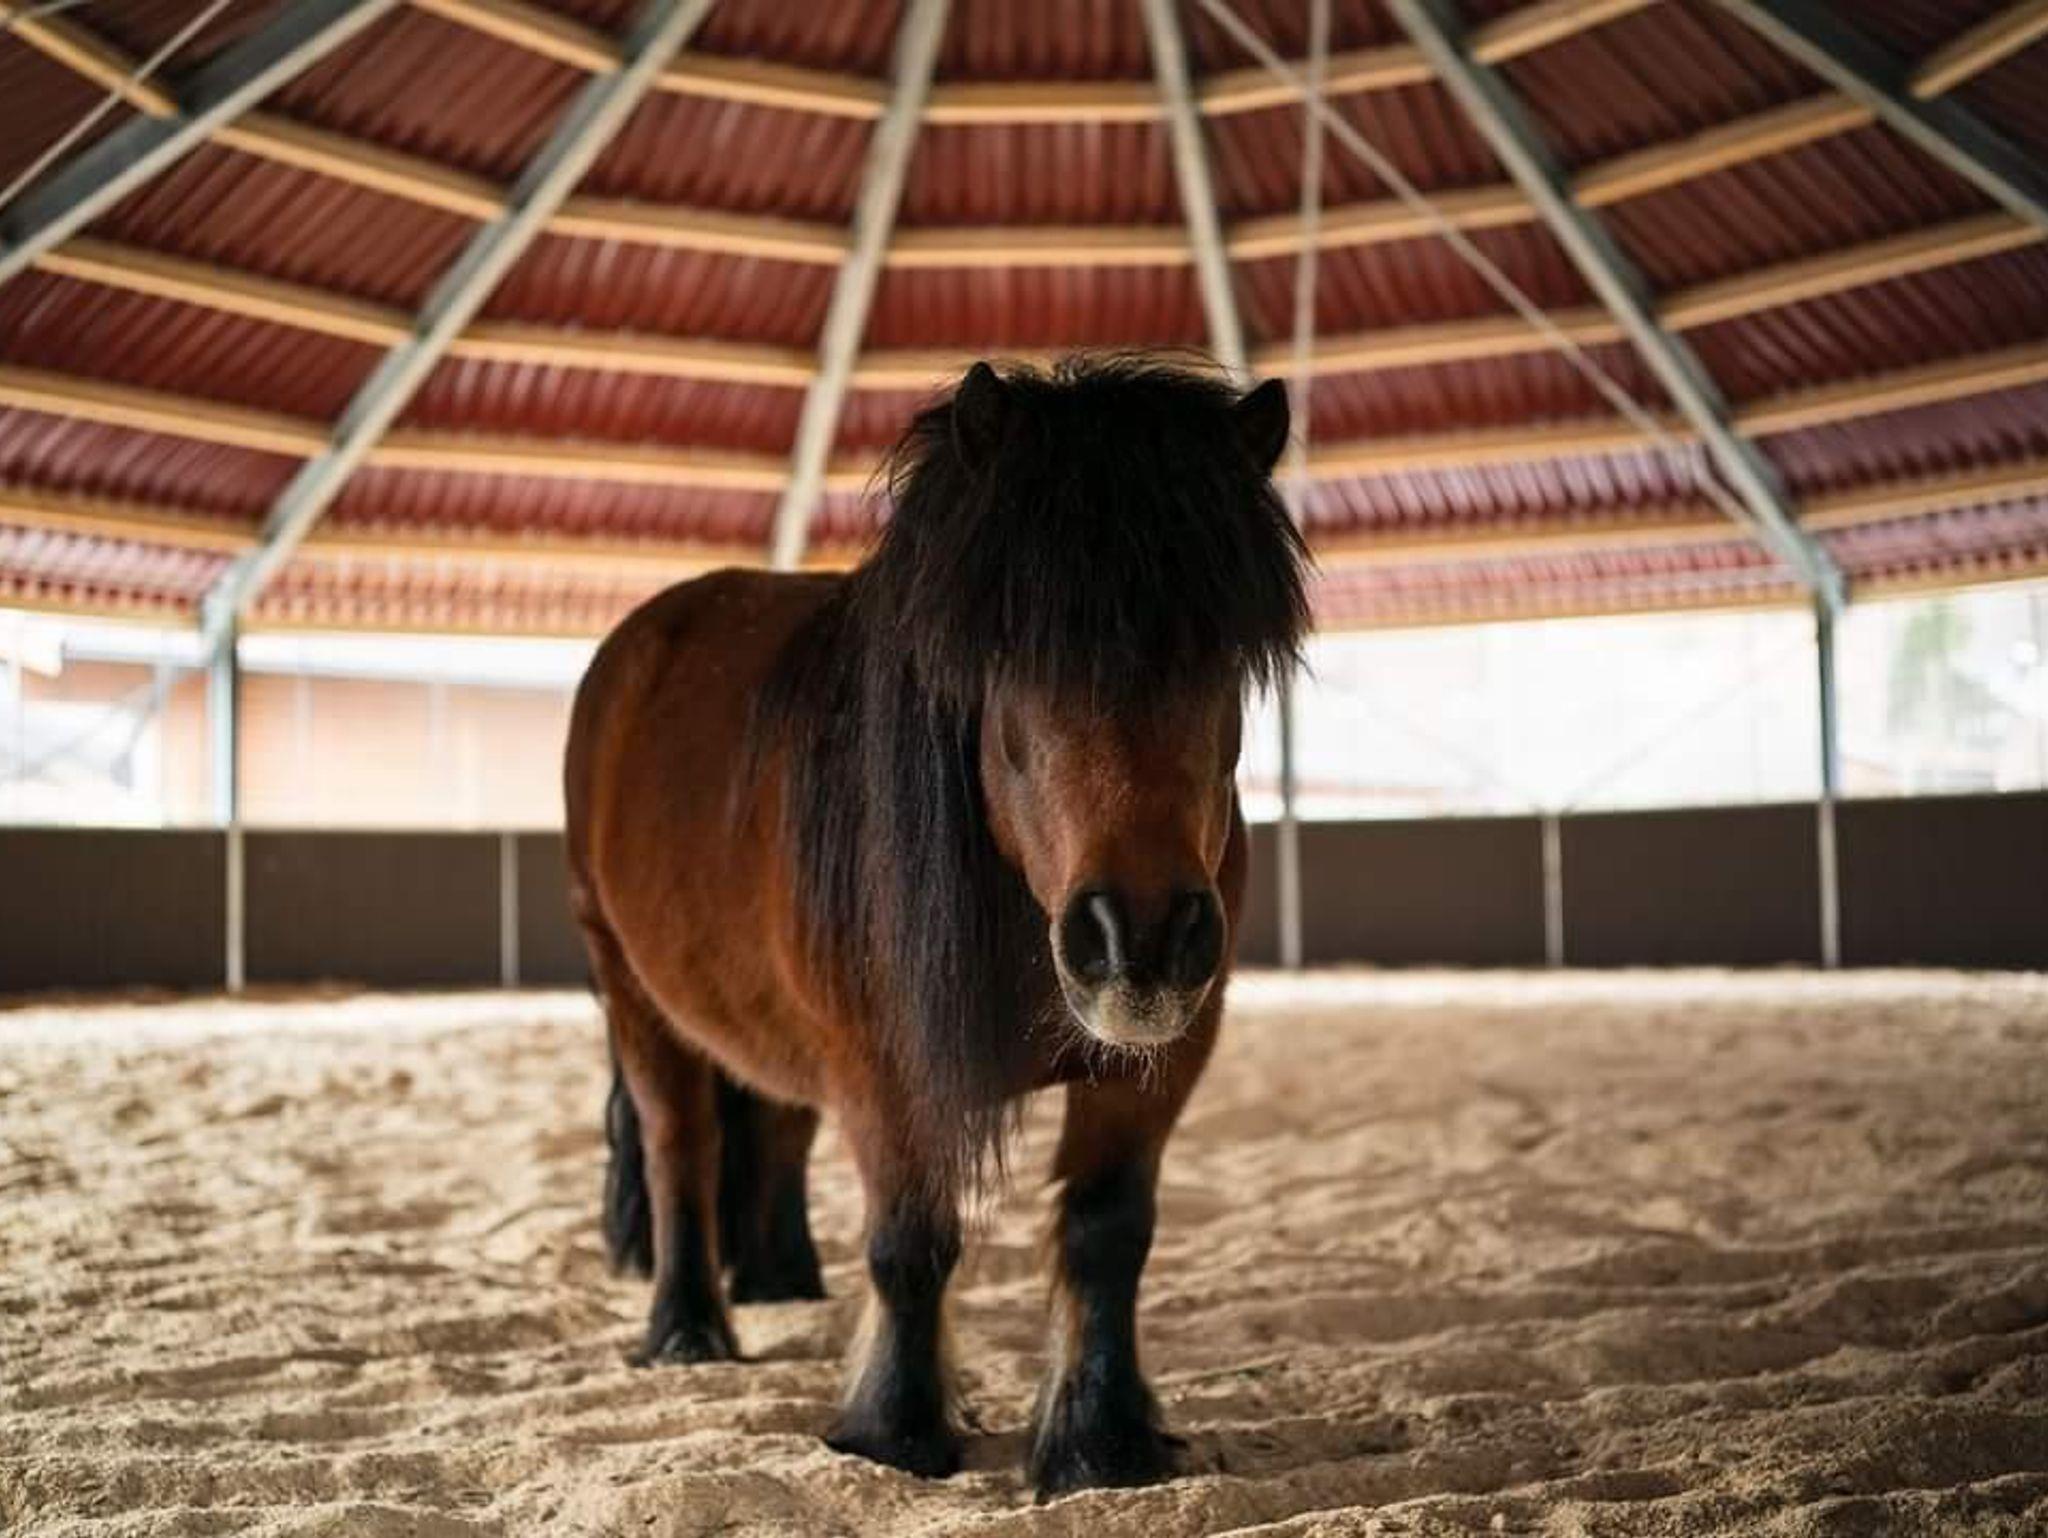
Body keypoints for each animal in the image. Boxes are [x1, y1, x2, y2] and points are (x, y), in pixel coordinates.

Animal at [563, 356, 1309, 1498]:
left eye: (1223, 651)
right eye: (1014, 653)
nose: (1137, 936)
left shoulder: (1161, 1062)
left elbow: (1106, 1234)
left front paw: (1102, 1440)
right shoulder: (885, 1064)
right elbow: (909, 1242)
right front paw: (895, 1430)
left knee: (772, 1120)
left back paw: (781, 1277)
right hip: (631, 987)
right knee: (678, 1141)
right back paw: (689, 1328)